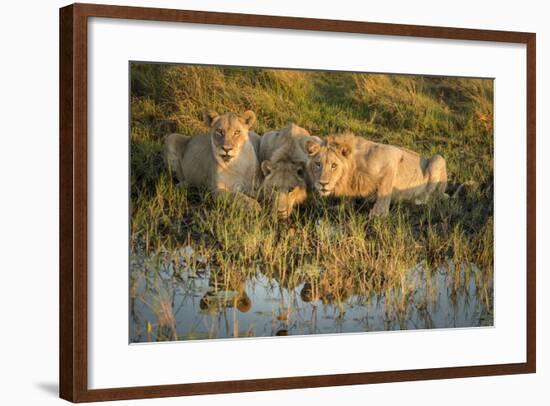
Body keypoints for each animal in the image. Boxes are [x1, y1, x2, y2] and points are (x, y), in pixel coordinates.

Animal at [304, 132, 450, 216]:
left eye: (334, 165)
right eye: (318, 164)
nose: (323, 184)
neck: (353, 171)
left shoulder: (393, 155)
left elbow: (384, 190)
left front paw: (378, 213)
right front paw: (340, 207)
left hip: (438, 159)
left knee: (431, 196)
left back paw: (417, 200)